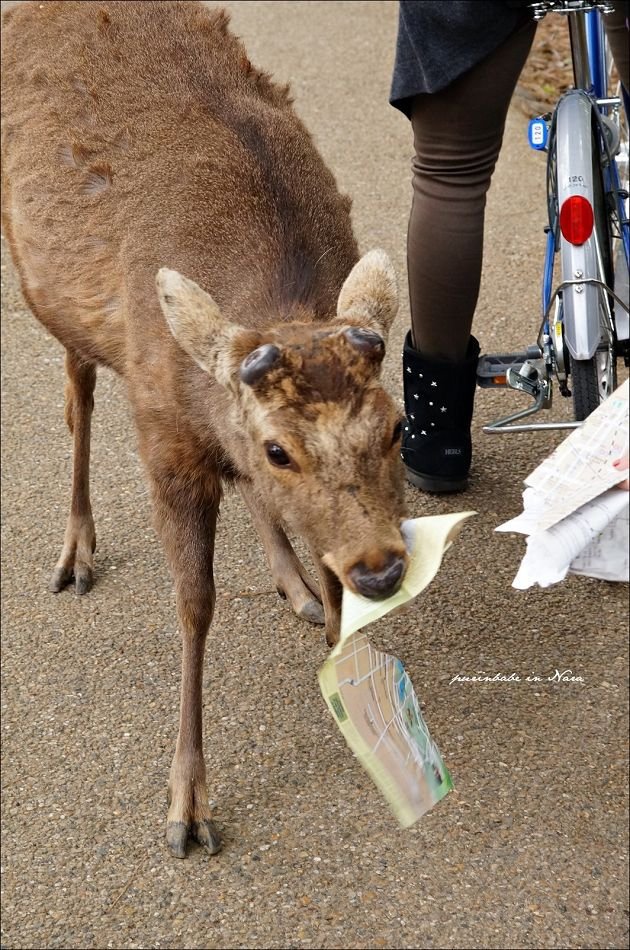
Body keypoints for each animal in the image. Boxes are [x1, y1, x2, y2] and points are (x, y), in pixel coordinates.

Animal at [1, 0, 410, 860]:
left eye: (397, 426)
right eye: (279, 447)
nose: (384, 568)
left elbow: (316, 556)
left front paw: (340, 658)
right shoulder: (164, 438)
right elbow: (194, 604)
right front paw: (186, 801)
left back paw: (291, 582)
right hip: (43, 288)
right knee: (77, 392)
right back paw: (76, 549)